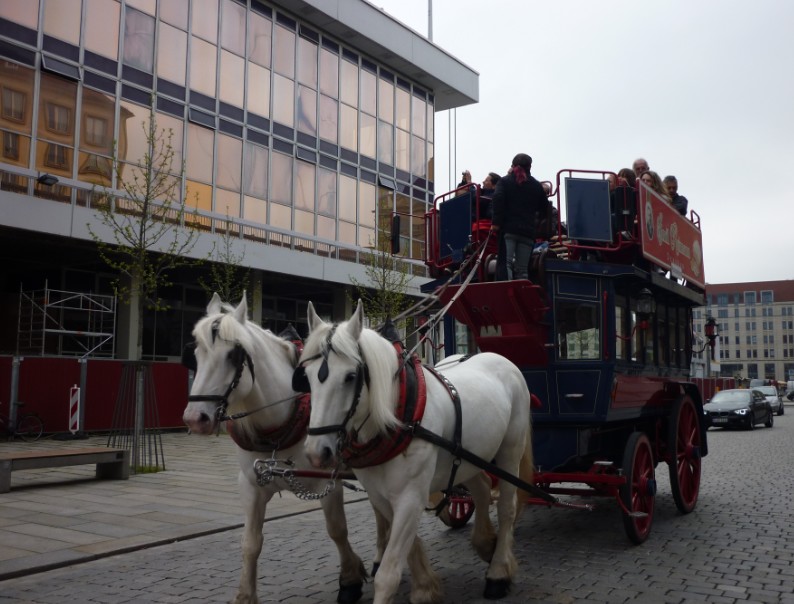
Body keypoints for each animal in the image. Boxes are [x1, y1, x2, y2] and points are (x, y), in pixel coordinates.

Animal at [182, 293, 370, 604]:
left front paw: (351, 579)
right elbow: (250, 542)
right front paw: (245, 595)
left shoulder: (328, 481)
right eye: (196, 353)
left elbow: (337, 530)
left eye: (232, 356)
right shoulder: (250, 485)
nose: (195, 418)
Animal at [297, 300, 534, 603]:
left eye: (350, 377)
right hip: (469, 456)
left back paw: (499, 571)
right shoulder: (381, 495)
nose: (318, 452)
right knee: (481, 488)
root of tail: (499, 358)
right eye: (306, 377)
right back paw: (485, 543)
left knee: (506, 507)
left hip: (509, 451)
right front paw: (425, 586)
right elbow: (405, 547)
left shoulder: (411, 495)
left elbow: (388, 574)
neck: (397, 418)